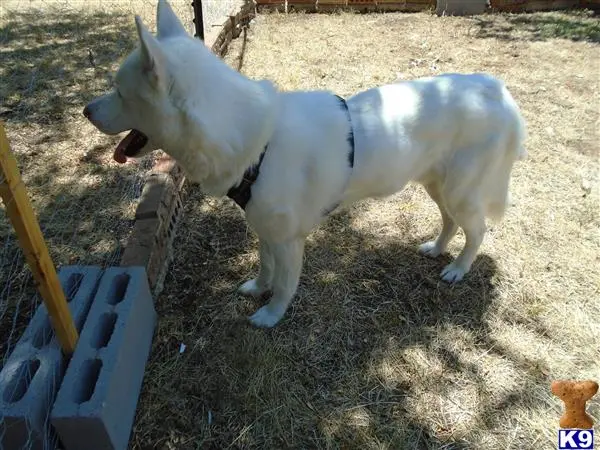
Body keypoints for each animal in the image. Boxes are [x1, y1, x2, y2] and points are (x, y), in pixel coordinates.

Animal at [83, 1, 524, 328]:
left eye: (119, 92)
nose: (86, 110)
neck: (257, 140)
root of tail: (496, 90)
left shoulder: (290, 241)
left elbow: (284, 285)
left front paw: (270, 316)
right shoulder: (265, 229)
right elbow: (265, 269)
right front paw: (256, 288)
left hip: (460, 190)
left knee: (477, 230)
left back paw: (459, 268)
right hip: (437, 185)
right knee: (450, 222)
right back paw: (437, 249)